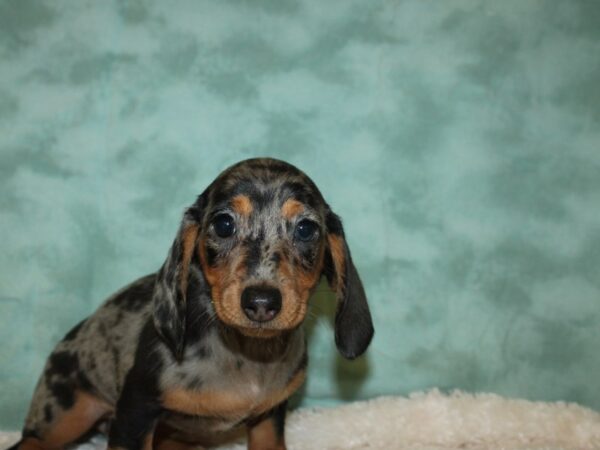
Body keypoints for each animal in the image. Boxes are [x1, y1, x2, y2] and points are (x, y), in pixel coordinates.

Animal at [11, 156, 372, 448]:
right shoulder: (134, 411)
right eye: (223, 224)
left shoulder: (269, 418)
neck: (245, 354)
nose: (261, 301)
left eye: (306, 229)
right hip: (67, 413)